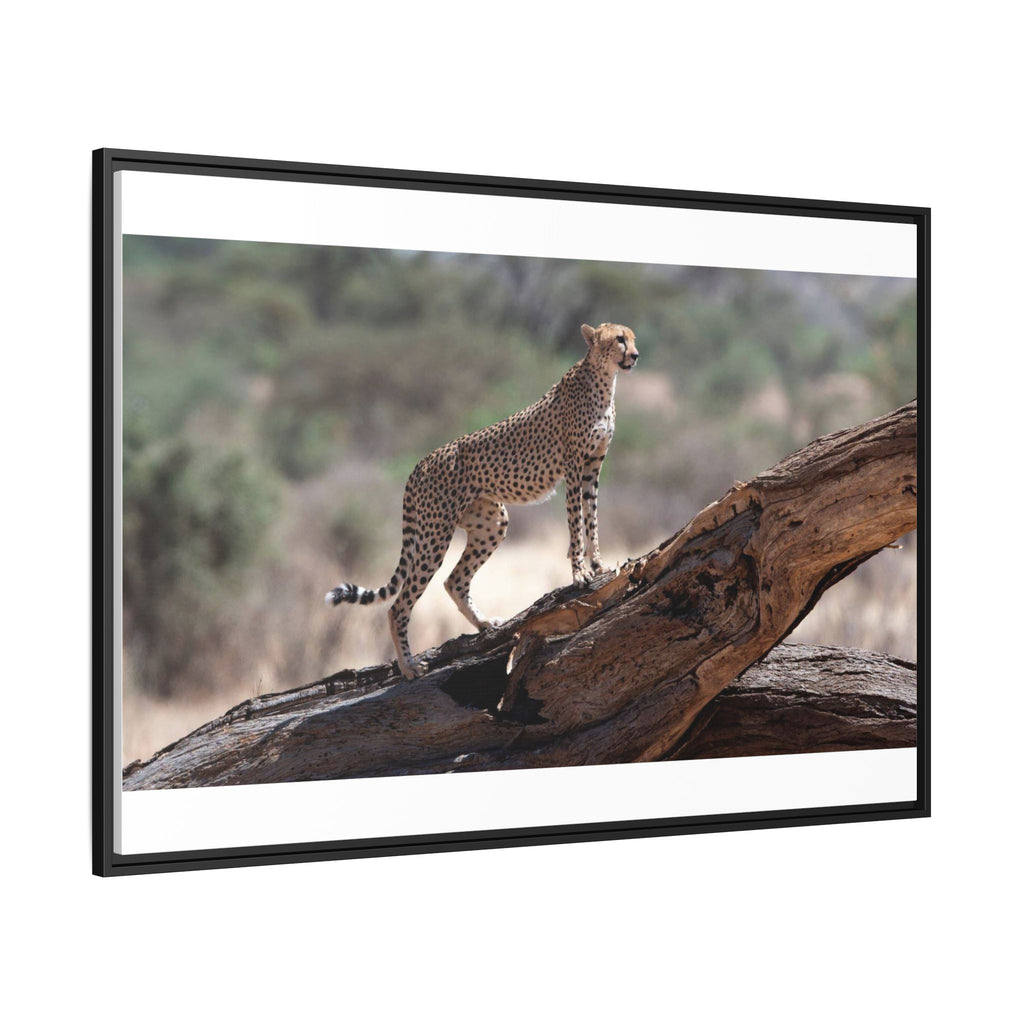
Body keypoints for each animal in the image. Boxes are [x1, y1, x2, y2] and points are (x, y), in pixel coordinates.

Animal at [325, 322, 639, 679]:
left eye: (632, 338)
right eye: (619, 339)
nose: (635, 355)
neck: (603, 379)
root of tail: (421, 462)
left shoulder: (592, 468)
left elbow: (592, 518)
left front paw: (598, 564)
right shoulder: (573, 468)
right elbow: (576, 523)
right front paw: (580, 573)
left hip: (491, 523)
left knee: (454, 581)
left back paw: (485, 623)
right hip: (435, 534)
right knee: (399, 604)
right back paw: (408, 666)